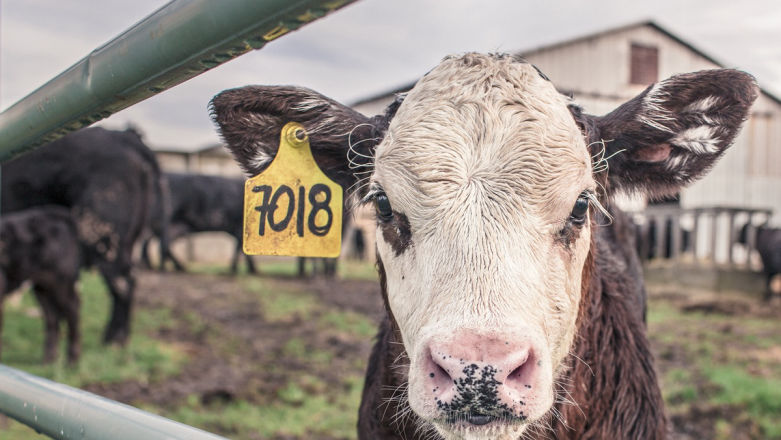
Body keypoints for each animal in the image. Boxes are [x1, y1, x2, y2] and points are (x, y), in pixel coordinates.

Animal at [0, 206, 80, 364]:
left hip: (62, 282)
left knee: (73, 309)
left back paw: (72, 360)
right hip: (42, 286)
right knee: (51, 317)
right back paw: (49, 360)